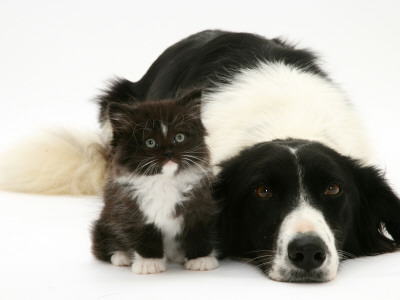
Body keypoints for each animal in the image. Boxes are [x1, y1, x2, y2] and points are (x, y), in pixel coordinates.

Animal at [91, 96, 219, 274]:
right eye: (150, 142)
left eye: (179, 137)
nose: (169, 153)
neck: (164, 181)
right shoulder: (130, 210)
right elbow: (144, 235)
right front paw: (149, 263)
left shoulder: (200, 204)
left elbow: (198, 231)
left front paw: (200, 259)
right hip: (103, 222)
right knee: (103, 245)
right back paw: (122, 256)